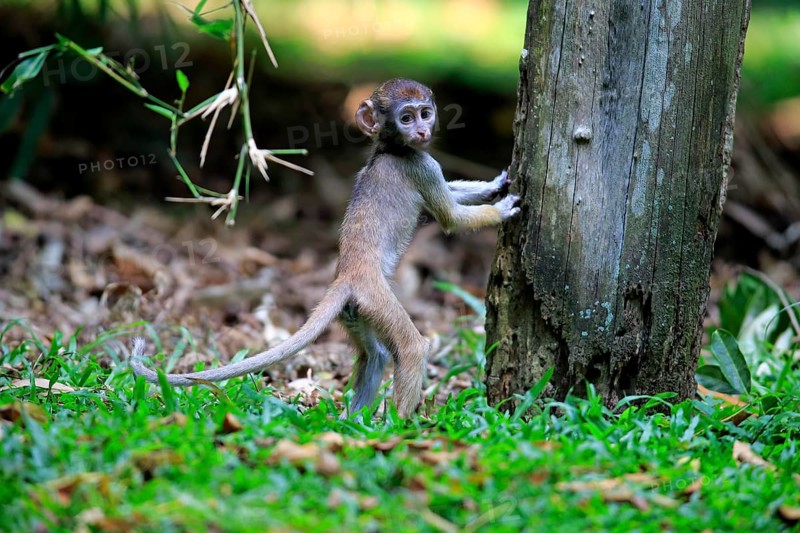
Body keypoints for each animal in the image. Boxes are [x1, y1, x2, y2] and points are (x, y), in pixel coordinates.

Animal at [130, 78, 520, 418]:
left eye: (426, 113)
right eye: (407, 117)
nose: (422, 131)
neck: (388, 148)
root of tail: (346, 276)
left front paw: (495, 184)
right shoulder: (420, 166)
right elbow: (450, 217)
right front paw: (503, 208)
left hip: (356, 311)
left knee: (376, 354)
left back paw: (354, 420)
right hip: (375, 297)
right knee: (410, 349)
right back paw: (402, 425)